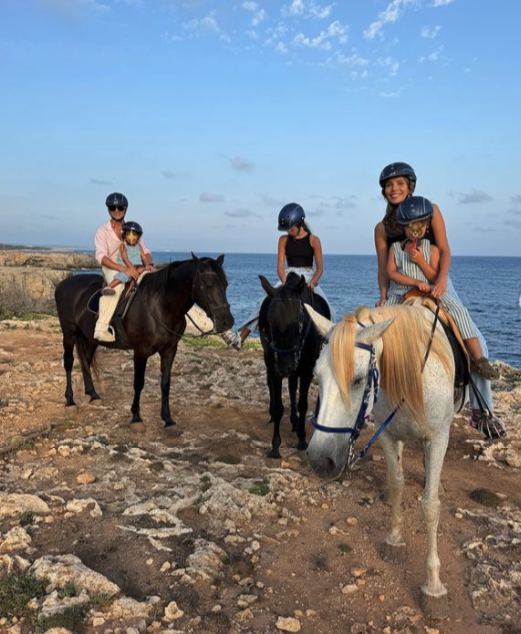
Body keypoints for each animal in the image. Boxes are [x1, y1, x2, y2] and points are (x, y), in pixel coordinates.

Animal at [53, 251, 233, 424]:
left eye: (226, 284)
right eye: (208, 285)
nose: (227, 321)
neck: (161, 305)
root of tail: (62, 284)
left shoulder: (170, 350)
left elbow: (165, 383)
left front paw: (167, 418)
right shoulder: (141, 351)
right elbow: (138, 383)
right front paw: (136, 417)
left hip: (90, 338)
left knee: (86, 361)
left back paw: (93, 394)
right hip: (69, 333)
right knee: (69, 362)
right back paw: (70, 401)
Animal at [258, 270, 332, 456]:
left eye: (296, 320)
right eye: (270, 322)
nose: (285, 367)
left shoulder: (306, 370)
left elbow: (302, 404)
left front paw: (302, 439)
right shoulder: (274, 368)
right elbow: (278, 407)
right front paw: (275, 445)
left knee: (292, 389)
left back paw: (295, 423)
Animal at [304, 304, 456, 616]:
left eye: (359, 379)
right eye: (316, 376)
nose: (319, 460)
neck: (412, 378)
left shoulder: (438, 438)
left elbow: (430, 506)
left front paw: (433, 586)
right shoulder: (387, 435)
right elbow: (397, 483)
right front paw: (394, 540)